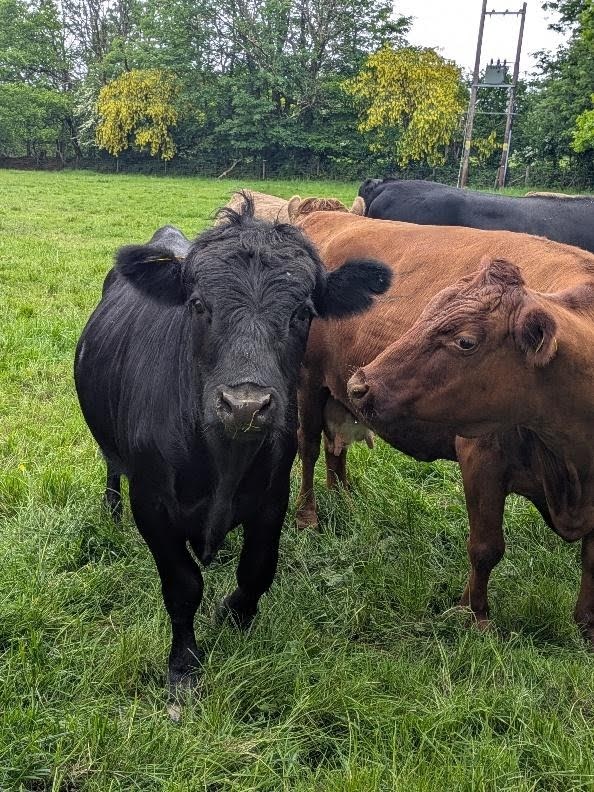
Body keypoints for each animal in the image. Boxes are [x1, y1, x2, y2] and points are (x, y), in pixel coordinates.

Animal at [74, 197, 391, 692]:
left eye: (303, 312)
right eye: (198, 305)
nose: (245, 405)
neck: (222, 458)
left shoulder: (273, 496)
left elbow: (259, 568)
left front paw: (235, 615)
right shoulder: (151, 504)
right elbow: (183, 585)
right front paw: (183, 664)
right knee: (111, 466)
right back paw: (110, 512)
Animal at [294, 210, 594, 640]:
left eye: (465, 341)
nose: (362, 383)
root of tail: (325, 214)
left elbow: (591, 559)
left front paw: (586, 627)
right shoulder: (480, 459)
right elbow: (486, 547)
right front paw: (475, 615)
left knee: (337, 450)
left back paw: (344, 498)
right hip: (308, 381)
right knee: (308, 447)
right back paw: (309, 516)